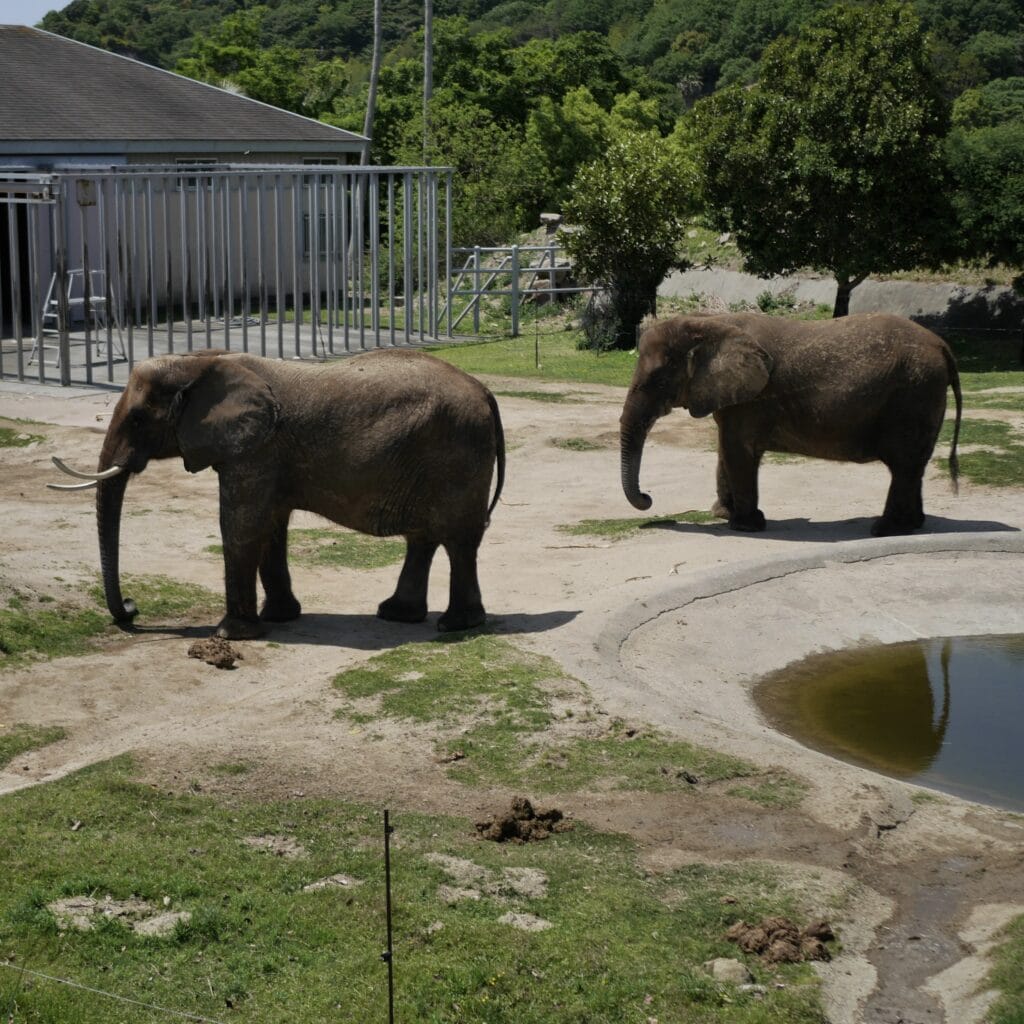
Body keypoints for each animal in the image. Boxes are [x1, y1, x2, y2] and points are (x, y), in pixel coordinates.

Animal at [50, 348, 505, 638]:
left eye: (138, 419)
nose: (131, 607)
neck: (199, 362)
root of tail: (485, 391)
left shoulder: (257, 450)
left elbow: (240, 526)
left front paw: (232, 635)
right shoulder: (265, 455)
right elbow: (269, 526)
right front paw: (280, 618)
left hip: (458, 453)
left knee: (458, 541)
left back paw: (455, 625)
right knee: (424, 538)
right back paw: (397, 615)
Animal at [619, 312, 962, 536]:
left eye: (658, 379)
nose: (648, 498)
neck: (707, 322)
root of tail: (943, 346)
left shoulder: (752, 399)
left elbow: (736, 450)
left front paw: (745, 526)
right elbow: (725, 449)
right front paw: (723, 513)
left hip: (914, 393)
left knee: (903, 465)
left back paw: (885, 529)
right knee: (912, 467)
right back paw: (912, 525)